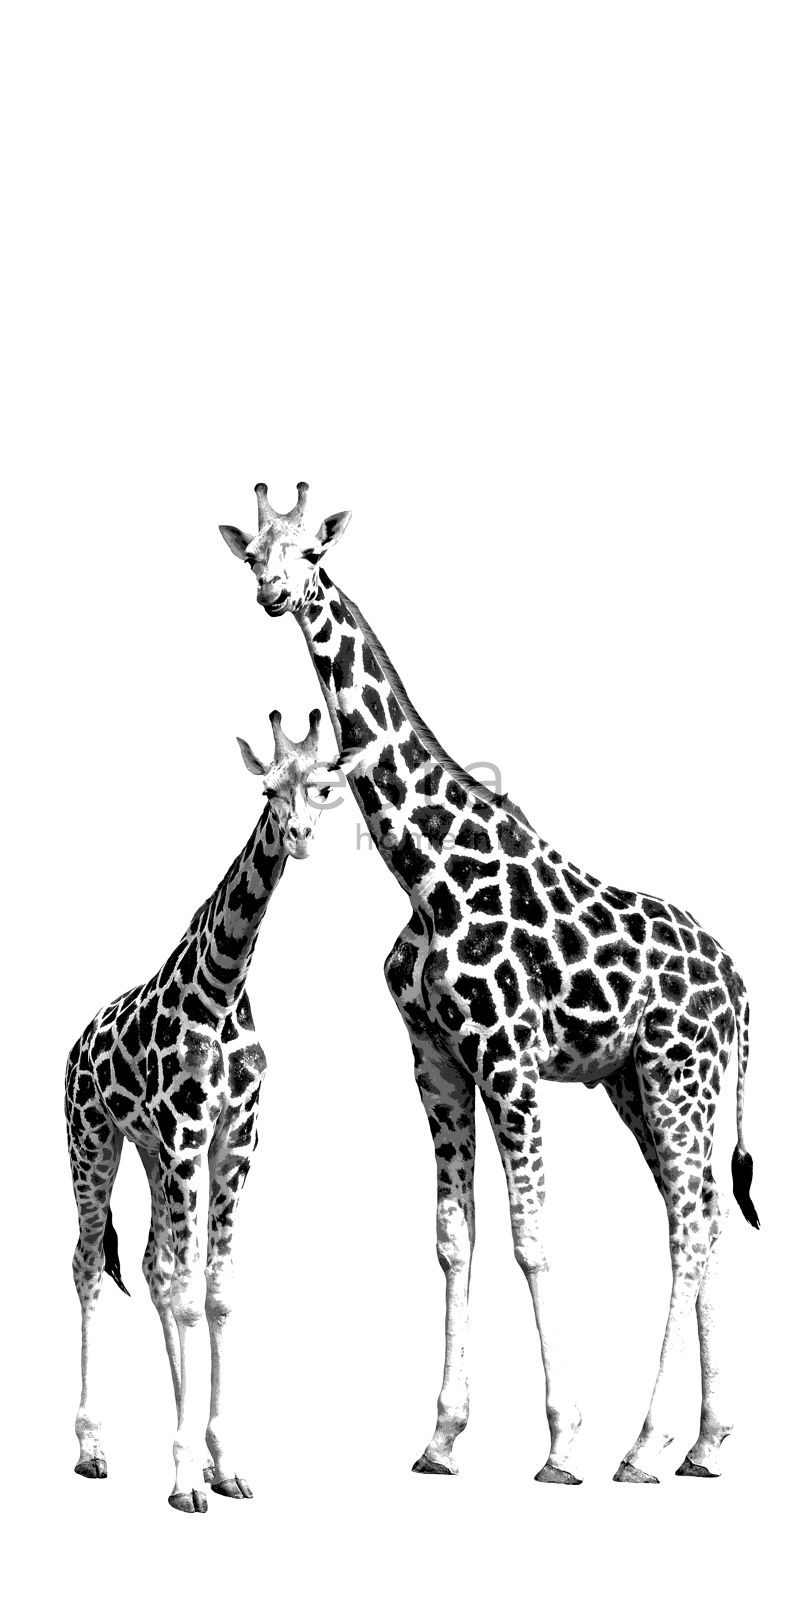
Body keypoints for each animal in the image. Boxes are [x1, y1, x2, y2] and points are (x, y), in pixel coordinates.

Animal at [65, 710, 355, 1511]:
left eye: (324, 787)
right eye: (266, 789)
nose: (300, 835)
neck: (224, 986)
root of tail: (72, 1046)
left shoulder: (234, 1142)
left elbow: (216, 1295)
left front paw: (220, 1462)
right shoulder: (189, 1135)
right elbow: (193, 1294)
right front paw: (186, 1474)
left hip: (149, 1151)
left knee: (153, 1265)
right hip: (93, 1143)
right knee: (89, 1263)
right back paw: (93, 1447)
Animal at [220, 481, 759, 1485]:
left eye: (313, 551)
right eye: (252, 554)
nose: (275, 595)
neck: (426, 874)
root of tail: (742, 985)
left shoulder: (509, 1060)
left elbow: (534, 1238)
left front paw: (563, 1441)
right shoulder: (436, 1058)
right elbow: (451, 1238)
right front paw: (440, 1437)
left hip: (680, 1076)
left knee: (692, 1226)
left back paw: (643, 1445)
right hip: (639, 1084)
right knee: (701, 1214)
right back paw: (704, 1442)